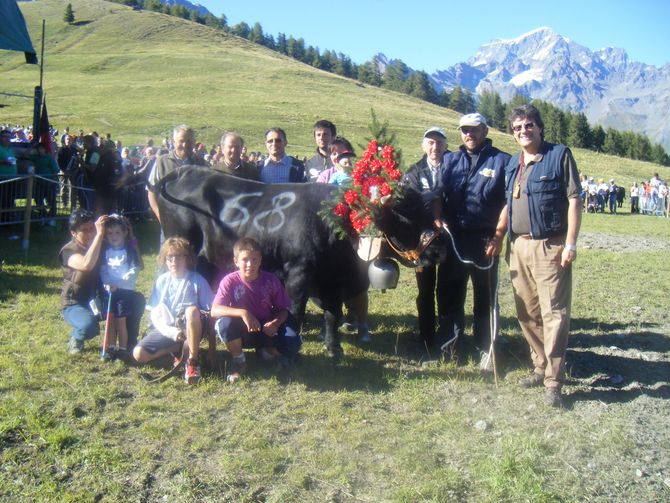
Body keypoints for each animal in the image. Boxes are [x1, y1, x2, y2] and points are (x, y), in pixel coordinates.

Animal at [155, 165, 446, 360]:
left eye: (426, 209)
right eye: (405, 216)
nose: (440, 251)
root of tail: (185, 170)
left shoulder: (333, 282)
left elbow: (332, 316)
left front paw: (334, 348)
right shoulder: (298, 276)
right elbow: (295, 313)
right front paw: (291, 350)